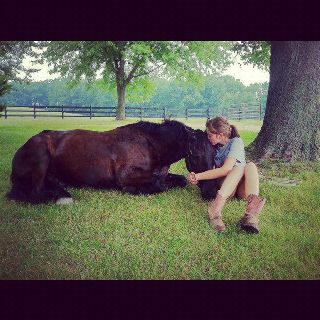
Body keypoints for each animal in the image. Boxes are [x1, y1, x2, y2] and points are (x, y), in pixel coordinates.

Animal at [6, 120, 220, 205]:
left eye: (215, 153)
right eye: (195, 155)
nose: (211, 193)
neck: (150, 143)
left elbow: (178, 180)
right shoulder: (127, 176)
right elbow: (157, 184)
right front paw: (134, 190)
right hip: (41, 156)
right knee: (35, 193)